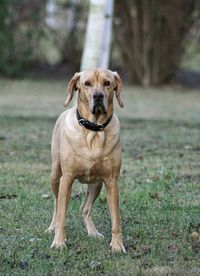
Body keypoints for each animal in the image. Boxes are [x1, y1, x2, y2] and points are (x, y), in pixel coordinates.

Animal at [46, 67, 126, 252]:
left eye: (107, 83)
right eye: (87, 84)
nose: (98, 96)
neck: (93, 130)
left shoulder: (112, 181)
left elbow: (116, 218)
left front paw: (117, 245)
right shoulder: (67, 178)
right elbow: (62, 214)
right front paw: (59, 242)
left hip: (96, 184)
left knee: (85, 208)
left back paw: (93, 232)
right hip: (55, 175)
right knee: (56, 204)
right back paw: (52, 228)